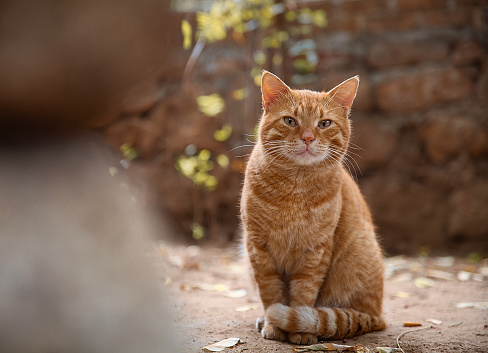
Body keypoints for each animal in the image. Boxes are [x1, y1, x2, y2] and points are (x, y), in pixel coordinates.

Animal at [240, 71, 386, 344]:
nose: (307, 138)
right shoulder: (258, 248)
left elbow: (303, 294)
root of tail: (378, 316)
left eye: (324, 123)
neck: (294, 190)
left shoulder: (315, 250)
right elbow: (270, 292)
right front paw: (274, 325)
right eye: (290, 120)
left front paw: (300, 330)